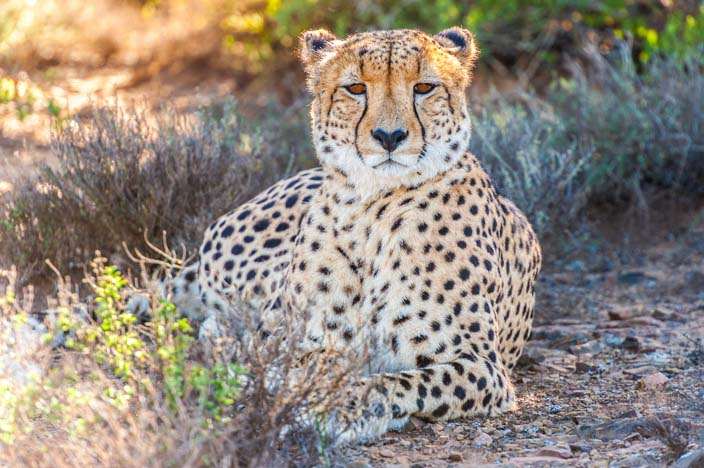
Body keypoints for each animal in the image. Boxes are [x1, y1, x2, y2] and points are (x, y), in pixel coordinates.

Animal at [173, 26, 540, 442]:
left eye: (424, 87)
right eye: (356, 88)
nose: (389, 136)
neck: (372, 208)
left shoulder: (483, 366)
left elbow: (396, 381)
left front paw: (338, 406)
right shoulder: (297, 336)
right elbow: (304, 357)